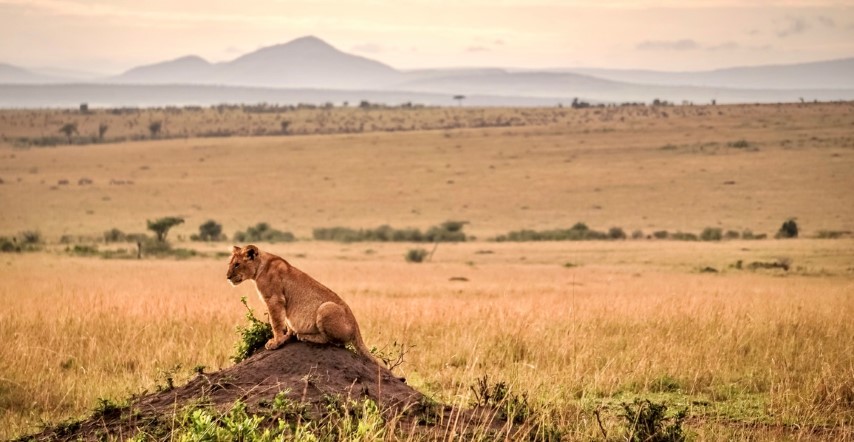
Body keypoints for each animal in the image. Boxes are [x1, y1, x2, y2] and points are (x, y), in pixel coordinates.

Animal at [231, 245, 384, 366]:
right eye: (231, 263)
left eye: (237, 264)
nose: (227, 277)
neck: (260, 266)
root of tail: (356, 326)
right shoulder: (282, 303)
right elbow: (286, 322)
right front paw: (286, 337)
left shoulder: (274, 299)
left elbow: (276, 322)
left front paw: (276, 342)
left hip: (326, 307)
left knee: (332, 342)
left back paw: (305, 336)